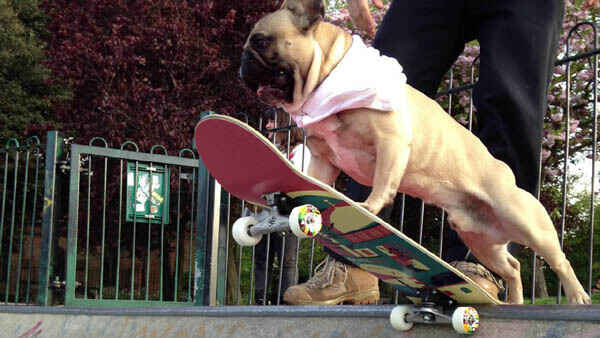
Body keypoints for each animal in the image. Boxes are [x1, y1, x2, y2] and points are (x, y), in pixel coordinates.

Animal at [239, 0, 592, 304]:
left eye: (260, 42)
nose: (242, 63)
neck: (327, 77)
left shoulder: (390, 140)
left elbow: (382, 184)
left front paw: (366, 207)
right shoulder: (324, 157)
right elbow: (317, 181)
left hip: (524, 220)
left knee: (559, 260)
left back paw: (577, 296)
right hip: (480, 241)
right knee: (513, 269)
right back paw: (515, 301)